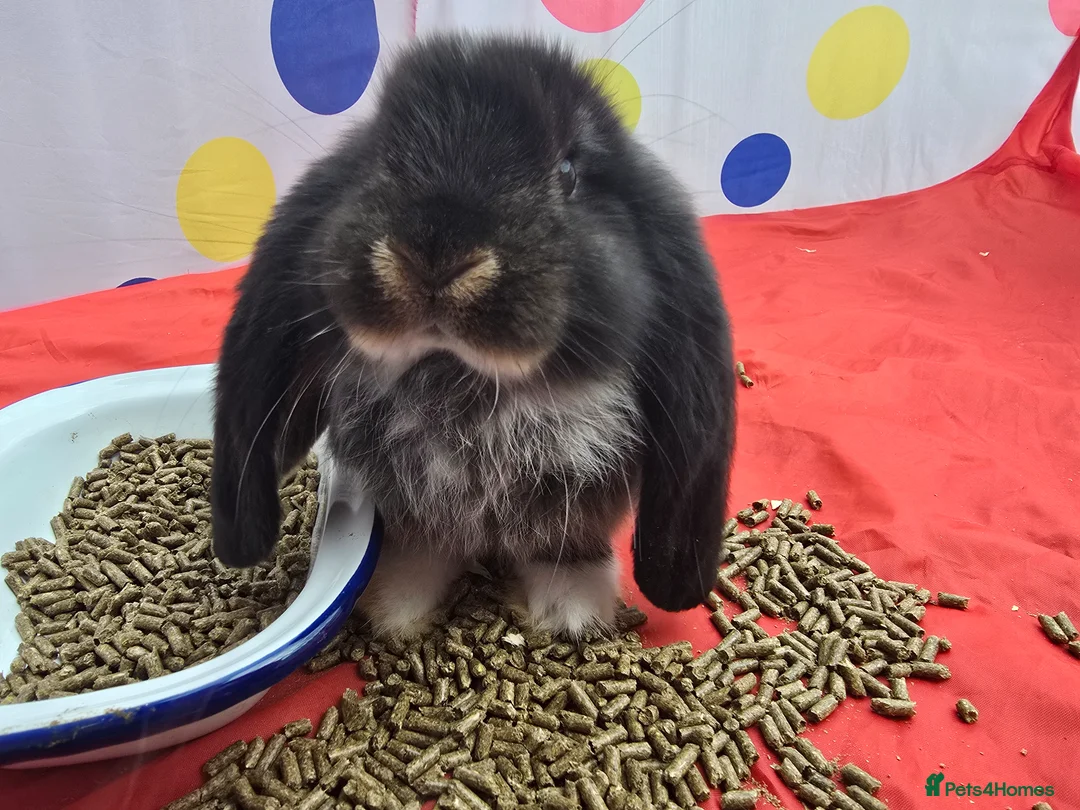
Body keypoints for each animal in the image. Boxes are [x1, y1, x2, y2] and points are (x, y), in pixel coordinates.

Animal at [210, 33, 736, 641]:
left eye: (568, 171)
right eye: (375, 160)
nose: (435, 256)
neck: (461, 378)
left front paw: (573, 616)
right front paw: (393, 608)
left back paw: (573, 609)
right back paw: (397, 600)